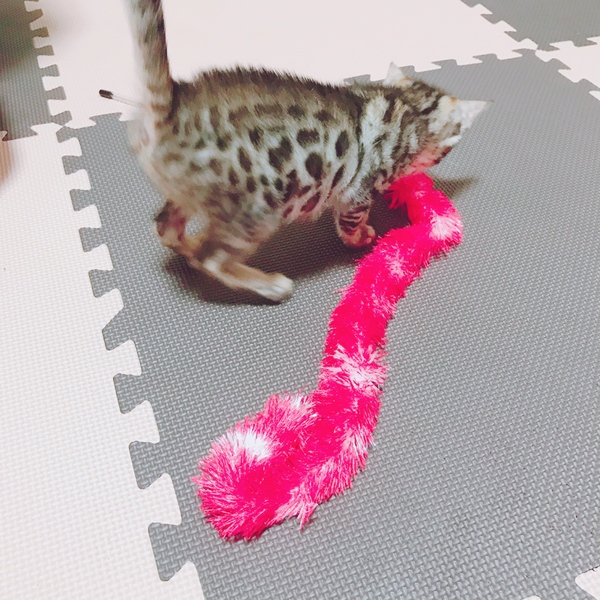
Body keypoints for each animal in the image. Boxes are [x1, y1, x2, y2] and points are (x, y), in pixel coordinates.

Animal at [126, 0, 486, 301]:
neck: (410, 107)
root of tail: (171, 108)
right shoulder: (357, 192)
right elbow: (351, 221)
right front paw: (359, 238)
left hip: (193, 194)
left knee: (166, 228)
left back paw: (192, 244)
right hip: (257, 210)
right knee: (212, 259)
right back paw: (269, 285)